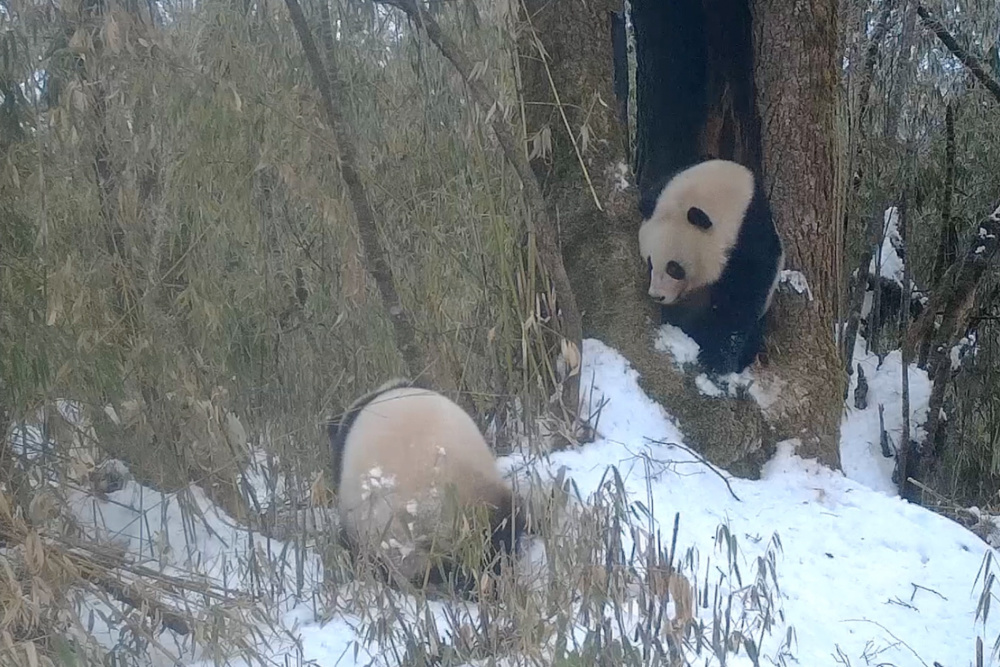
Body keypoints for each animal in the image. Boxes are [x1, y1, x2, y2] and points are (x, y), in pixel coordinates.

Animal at [636, 159, 784, 374]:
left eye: (674, 268)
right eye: (650, 263)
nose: (657, 296)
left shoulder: (749, 243)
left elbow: (739, 303)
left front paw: (715, 360)